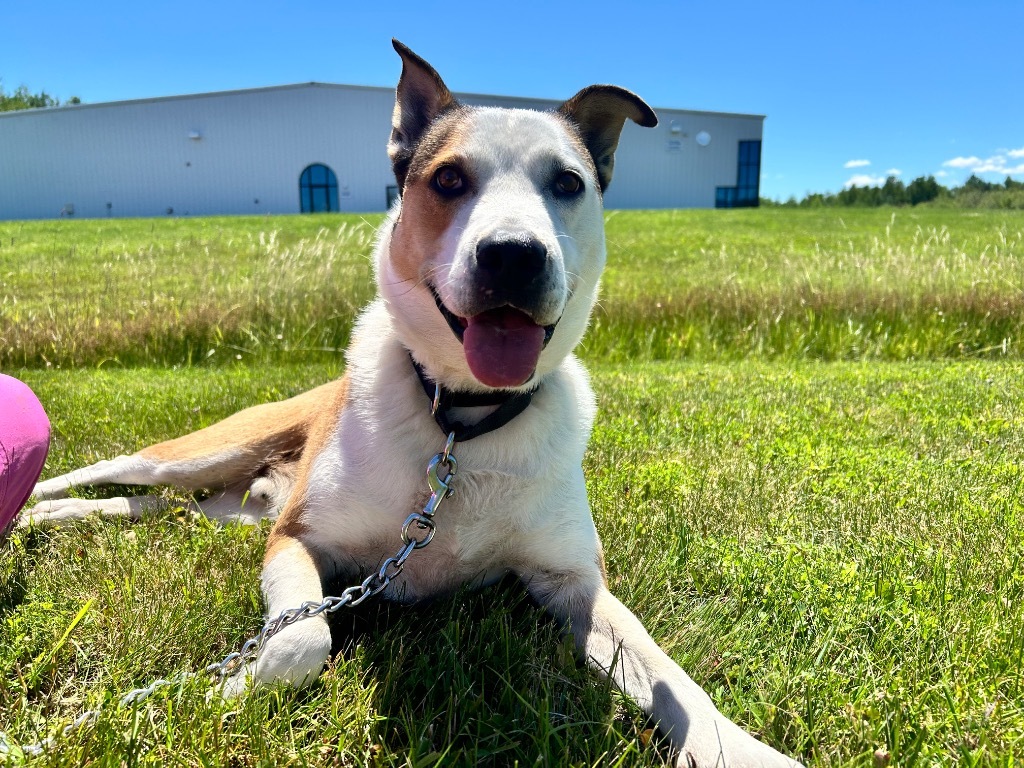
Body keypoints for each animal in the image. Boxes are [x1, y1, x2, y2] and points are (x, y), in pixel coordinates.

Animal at [24, 40, 802, 768]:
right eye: (449, 179)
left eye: (568, 182)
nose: (513, 254)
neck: (461, 423)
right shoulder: (297, 538)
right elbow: (303, 636)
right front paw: (220, 690)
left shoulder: (574, 582)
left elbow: (670, 674)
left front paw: (737, 746)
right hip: (207, 452)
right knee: (114, 471)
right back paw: (31, 503)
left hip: (224, 508)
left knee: (147, 508)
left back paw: (48, 520)